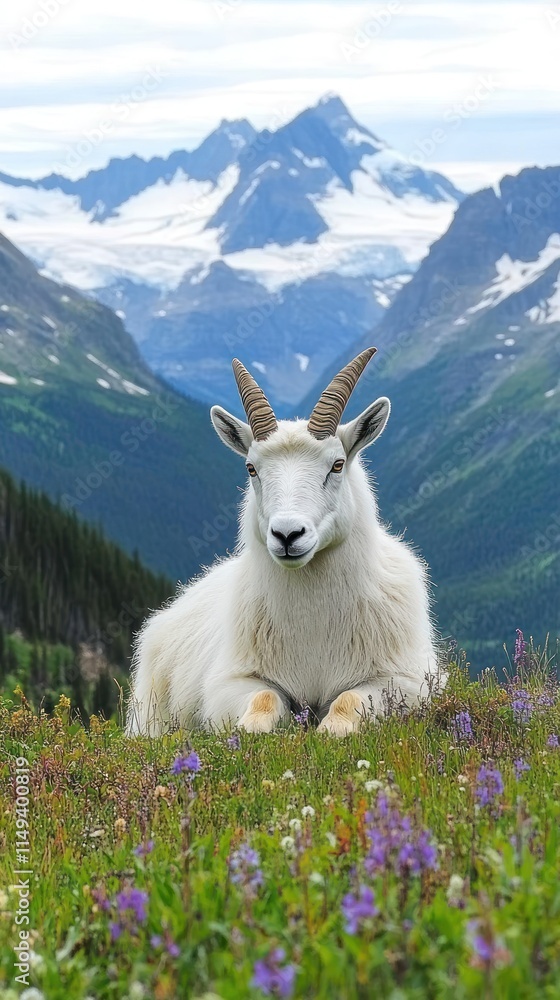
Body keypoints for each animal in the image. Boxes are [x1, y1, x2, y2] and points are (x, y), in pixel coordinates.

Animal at [127, 348, 441, 737]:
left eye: (337, 464)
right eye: (251, 468)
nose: (288, 534)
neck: (313, 624)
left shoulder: (404, 682)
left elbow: (347, 702)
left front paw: (331, 731)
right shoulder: (230, 682)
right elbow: (264, 701)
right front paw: (252, 731)